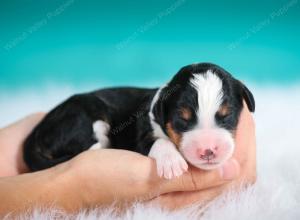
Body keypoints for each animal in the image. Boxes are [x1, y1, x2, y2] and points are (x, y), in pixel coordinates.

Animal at [23, 62, 254, 179]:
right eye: (182, 119)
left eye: (227, 115)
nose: (208, 151)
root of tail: (37, 132)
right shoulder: (140, 135)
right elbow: (157, 141)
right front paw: (171, 162)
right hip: (85, 115)